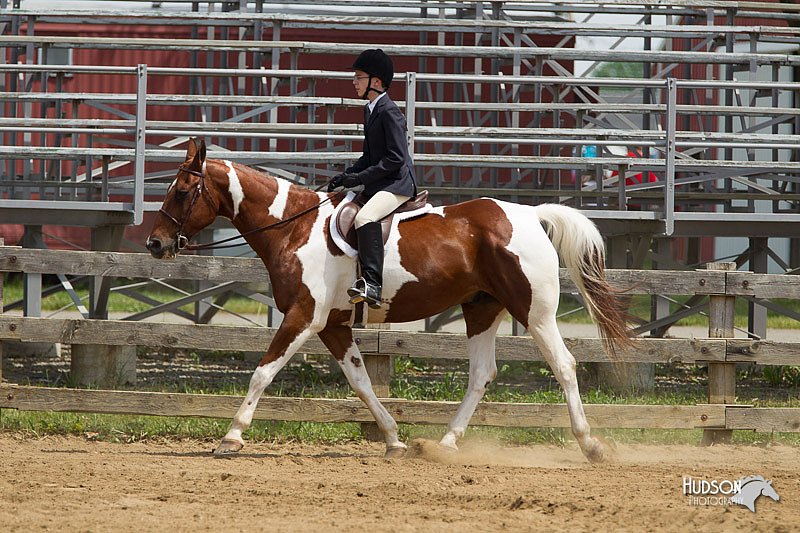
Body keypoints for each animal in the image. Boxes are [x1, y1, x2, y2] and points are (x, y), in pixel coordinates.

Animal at [144, 137, 632, 462]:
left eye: (182, 191)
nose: (154, 243)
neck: (293, 227)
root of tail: (530, 214)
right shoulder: (334, 325)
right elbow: (360, 383)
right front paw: (394, 439)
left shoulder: (303, 316)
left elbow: (262, 373)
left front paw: (231, 436)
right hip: (481, 308)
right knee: (481, 374)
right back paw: (443, 445)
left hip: (535, 311)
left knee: (564, 366)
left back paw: (590, 445)